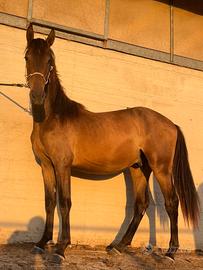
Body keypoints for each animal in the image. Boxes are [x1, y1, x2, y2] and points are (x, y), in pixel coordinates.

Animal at [25, 24, 200, 262]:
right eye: (27, 57)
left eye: (49, 60)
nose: (36, 95)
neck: (53, 117)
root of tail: (171, 124)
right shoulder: (46, 166)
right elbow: (49, 202)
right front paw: (42, 243)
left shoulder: (62, 166)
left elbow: (64, 202)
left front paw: (61, 248)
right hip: (139, 168)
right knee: (141, 205)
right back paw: (119, 245)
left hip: (161, 169)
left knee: (172, 203)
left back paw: (170, 252)